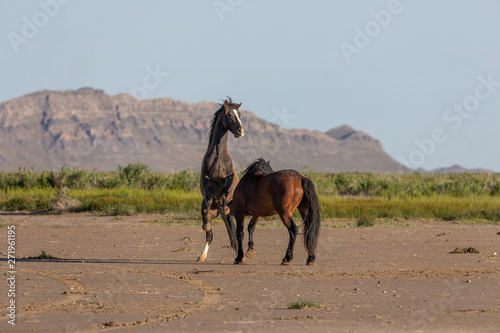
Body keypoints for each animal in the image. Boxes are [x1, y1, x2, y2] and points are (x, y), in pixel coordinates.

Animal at [197, 96, 244, 262]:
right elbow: (208, 199)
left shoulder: (229, 176)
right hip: (212, 214)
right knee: (210, 235)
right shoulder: (205, 178)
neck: (218, 156)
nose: (240, 131)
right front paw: (205, 224)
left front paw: (225, 207)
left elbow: (224, 192)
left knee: (238, 234)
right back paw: (202, 256)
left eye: (239, 115)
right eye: (229, 115)